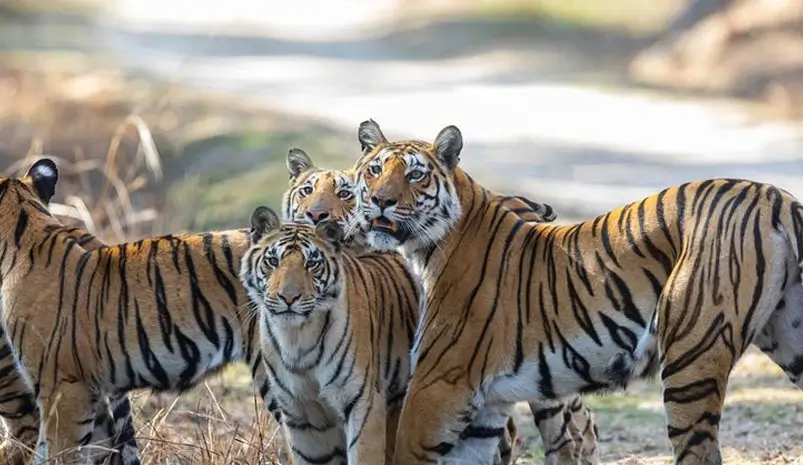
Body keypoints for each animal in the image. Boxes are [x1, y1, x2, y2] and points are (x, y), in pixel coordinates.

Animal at [240, 207, 421, 465]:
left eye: (311, 264)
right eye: (273, 261)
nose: (288, 297)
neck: (297, 339)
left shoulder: (362, 402)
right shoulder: (300, 415)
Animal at [352, 119, 803, 465]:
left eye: (415, 174)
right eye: (374, 170)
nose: (380, 200)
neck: (428, 249)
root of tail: (778, 198)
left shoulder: (438, 386)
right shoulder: (483, 411)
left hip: (691, 354)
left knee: (698, 451)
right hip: (789, 340)